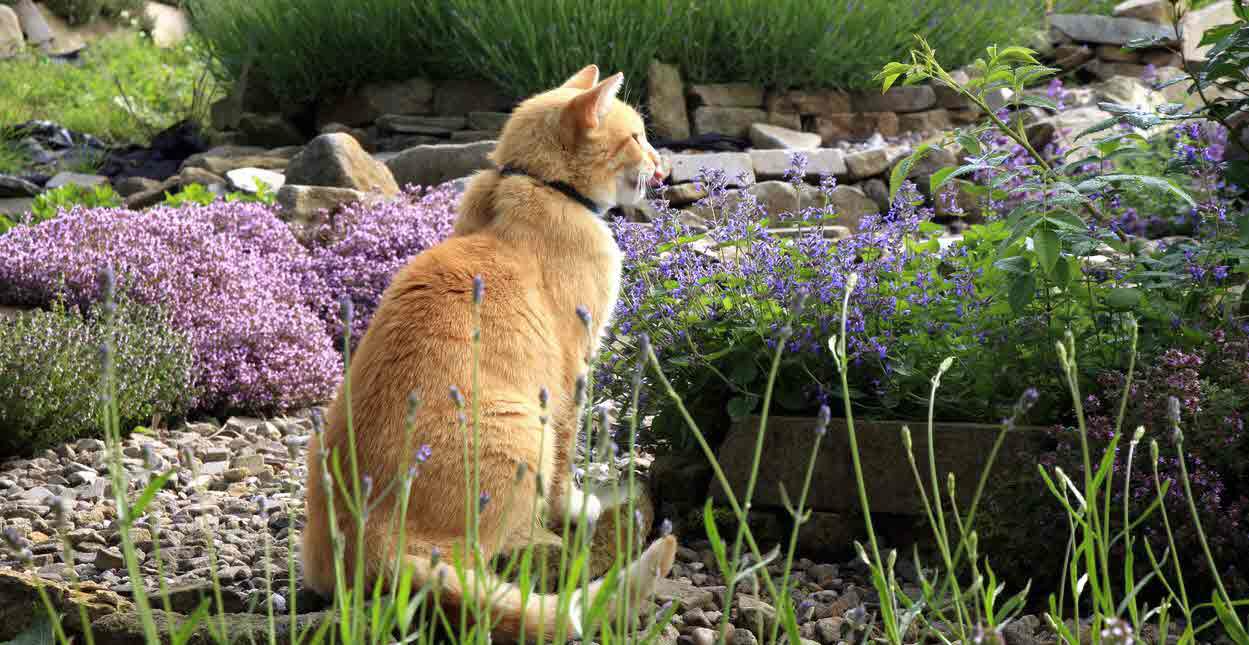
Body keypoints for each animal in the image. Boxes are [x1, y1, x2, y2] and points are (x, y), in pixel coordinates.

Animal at [302, 65, 674, 640]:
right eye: (636, 137)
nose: (663, 163)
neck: (534, 184)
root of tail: (367, 535)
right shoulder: (572, 374)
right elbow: (568, 463)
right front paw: (575, 507)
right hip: (526, 431)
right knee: (482, 565)